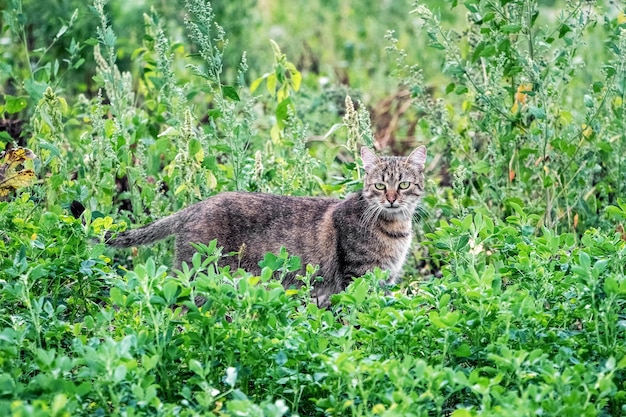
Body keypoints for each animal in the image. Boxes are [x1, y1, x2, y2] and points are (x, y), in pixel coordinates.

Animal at [108, 146, 424, 306]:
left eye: (404, 185)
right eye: (380, 185)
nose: (391, 199)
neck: (395, 228)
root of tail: (197, 205)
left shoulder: (384, 281)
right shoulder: (356, 278)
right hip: (199, 277)